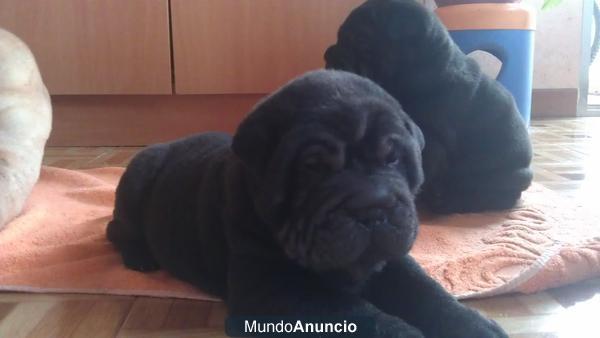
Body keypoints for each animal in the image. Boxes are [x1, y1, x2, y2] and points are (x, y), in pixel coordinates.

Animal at [106, 70, 506, 336]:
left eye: (392, 157)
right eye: (313, 168)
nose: (372, 206)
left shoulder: (391, 259)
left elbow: (425, 291)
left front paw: (474, 325)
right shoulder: (272, 290)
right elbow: (357, 313)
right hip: (138, 176)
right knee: (116, 228)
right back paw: (140, 256)